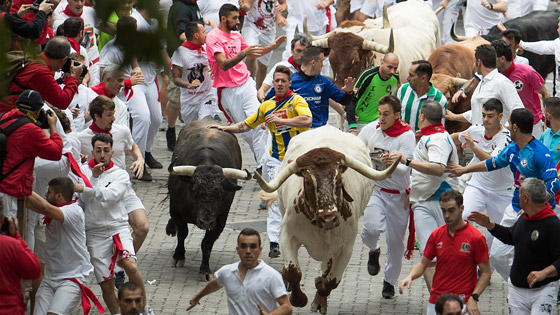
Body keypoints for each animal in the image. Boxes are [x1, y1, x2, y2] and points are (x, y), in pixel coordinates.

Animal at [165, 117, 250, 280]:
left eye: (220, 193)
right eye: (195, 191)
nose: (205, 221)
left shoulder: (220, 220)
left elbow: (207, 244)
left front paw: (204, 270)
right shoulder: (176, 210)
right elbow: (183, 233)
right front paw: (178, 256)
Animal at [254, 125, 398, 314]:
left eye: (339, 179)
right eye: (308, 181)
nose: (328, 217)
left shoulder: (346, 247)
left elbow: (330, 281)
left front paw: (318, 298)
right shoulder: (287, 235)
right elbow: (293, 272)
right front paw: (298, 298)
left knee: (326, 269)